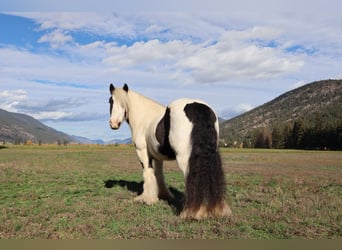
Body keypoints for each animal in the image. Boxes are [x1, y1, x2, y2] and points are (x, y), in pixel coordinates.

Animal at [109, 83, 232, 219]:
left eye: (122, 103)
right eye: (111, 101)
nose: (113, 124)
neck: (145, 119)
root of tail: (198, 107)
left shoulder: (143, 153)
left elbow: (148, 173)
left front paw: (147, 199)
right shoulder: (157, 157)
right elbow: (158, 175)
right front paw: (164, 195)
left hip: (184, 158)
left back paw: (192, 212)